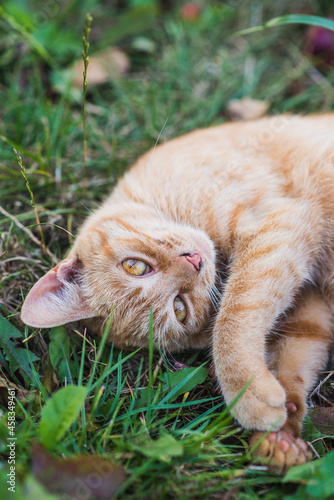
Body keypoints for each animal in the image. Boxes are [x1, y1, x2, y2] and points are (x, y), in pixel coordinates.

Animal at [21, 113, 334, 472]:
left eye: (135, 266)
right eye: (180, 308)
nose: (195, 262)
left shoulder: (278, 226)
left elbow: (234, 318)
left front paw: (245, 392)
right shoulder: (310, 304)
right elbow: (292, 359)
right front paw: (279, 437)